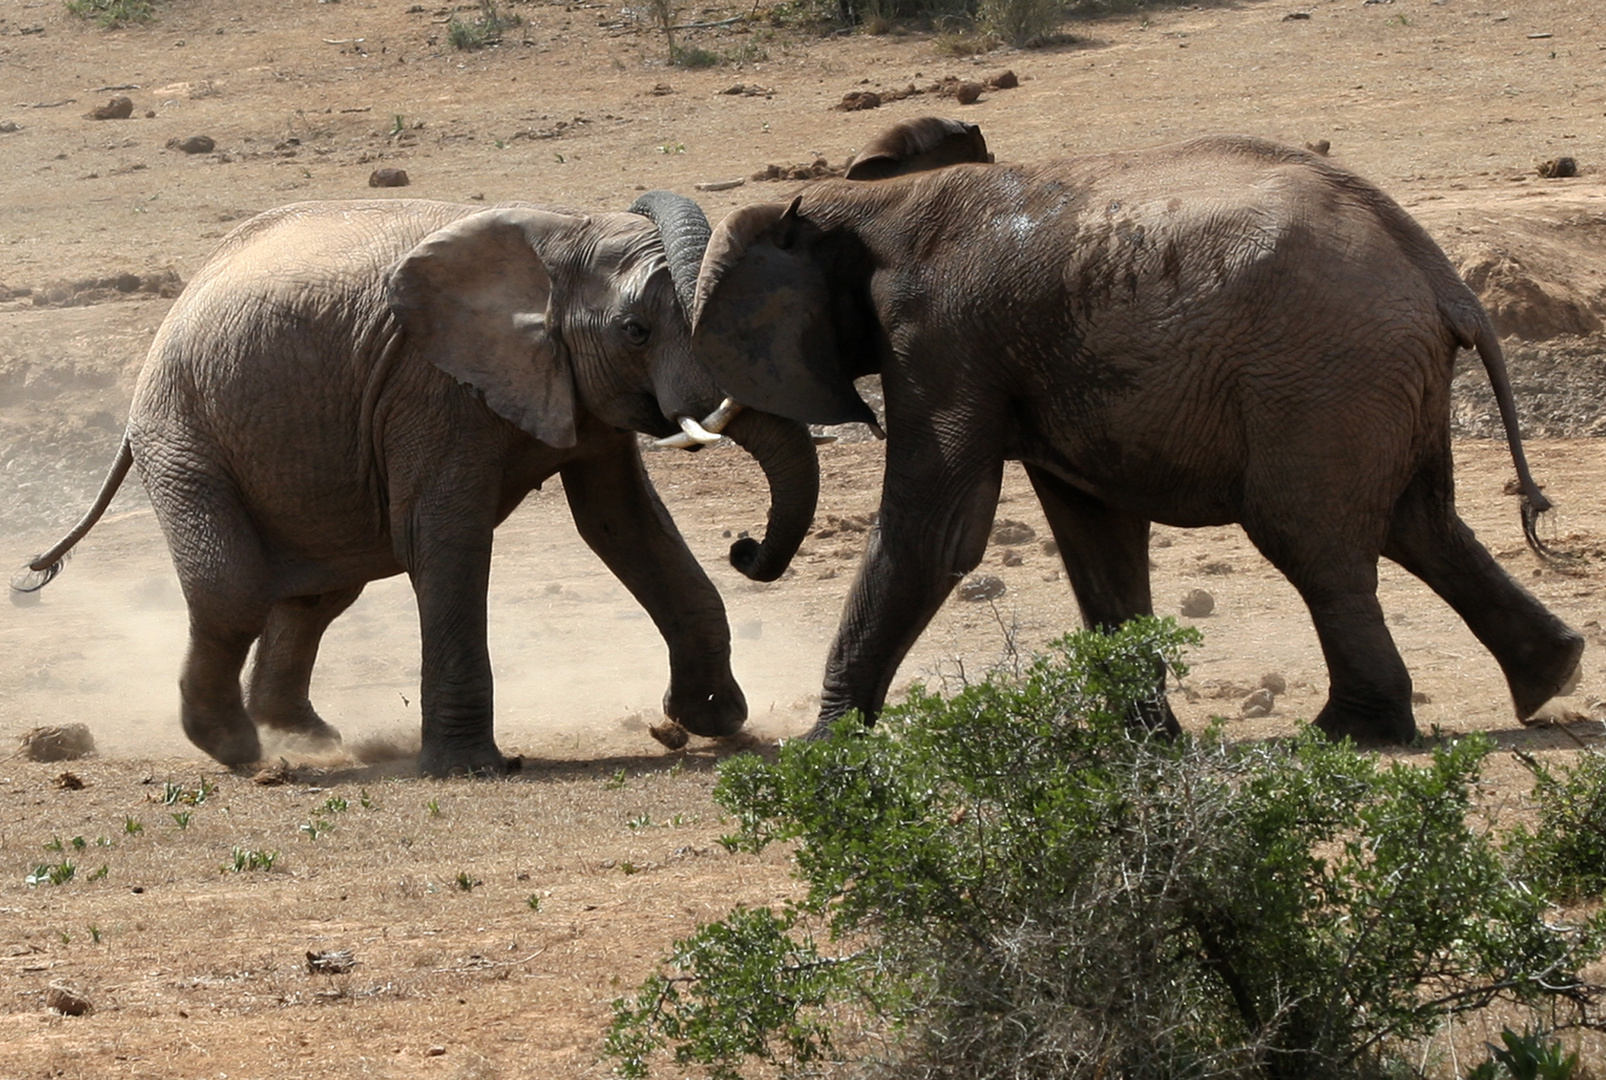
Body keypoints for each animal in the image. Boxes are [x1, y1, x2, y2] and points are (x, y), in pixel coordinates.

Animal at [12, 189, 815, 771]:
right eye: (637, 332)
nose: (746, 547)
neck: (564, 238)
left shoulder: (576, 393)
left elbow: (624, 525)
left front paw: (713, 719)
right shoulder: (432, 386)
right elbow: (443, 538)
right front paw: (469, 768)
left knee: (317, 595)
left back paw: (306, 739)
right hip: (180, 433)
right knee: (233, 592)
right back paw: (242, 751)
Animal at [690, 132, 1580, 742]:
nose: (741, 547)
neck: (860, 203)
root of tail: (1440, 275)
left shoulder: (940, 341)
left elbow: (933, 533)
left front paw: (824, 745)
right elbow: (1096, 535)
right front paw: (1143, 740)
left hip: (1324, 376)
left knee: (1311, 539)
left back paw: (1348, 732)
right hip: (1378, 380)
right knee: (1421, 525)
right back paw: (1550, 678)